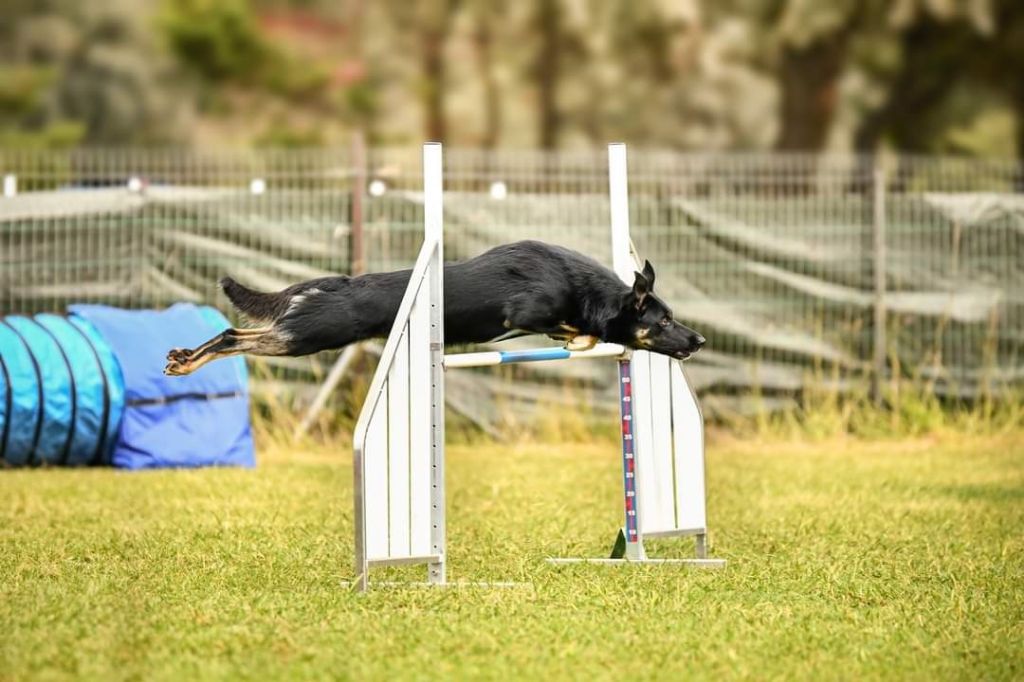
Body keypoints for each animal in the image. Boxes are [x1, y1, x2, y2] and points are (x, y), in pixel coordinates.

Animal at [161, 238, 704, 374]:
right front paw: (583, 338)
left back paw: (181, 357)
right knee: (236, 336)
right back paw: (187, 363)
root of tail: (333, 282)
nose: (700, 340)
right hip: (309, 336)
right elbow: (575, 328)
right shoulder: (525, 315)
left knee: (239, 332)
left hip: (303, 333)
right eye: (665, 320)